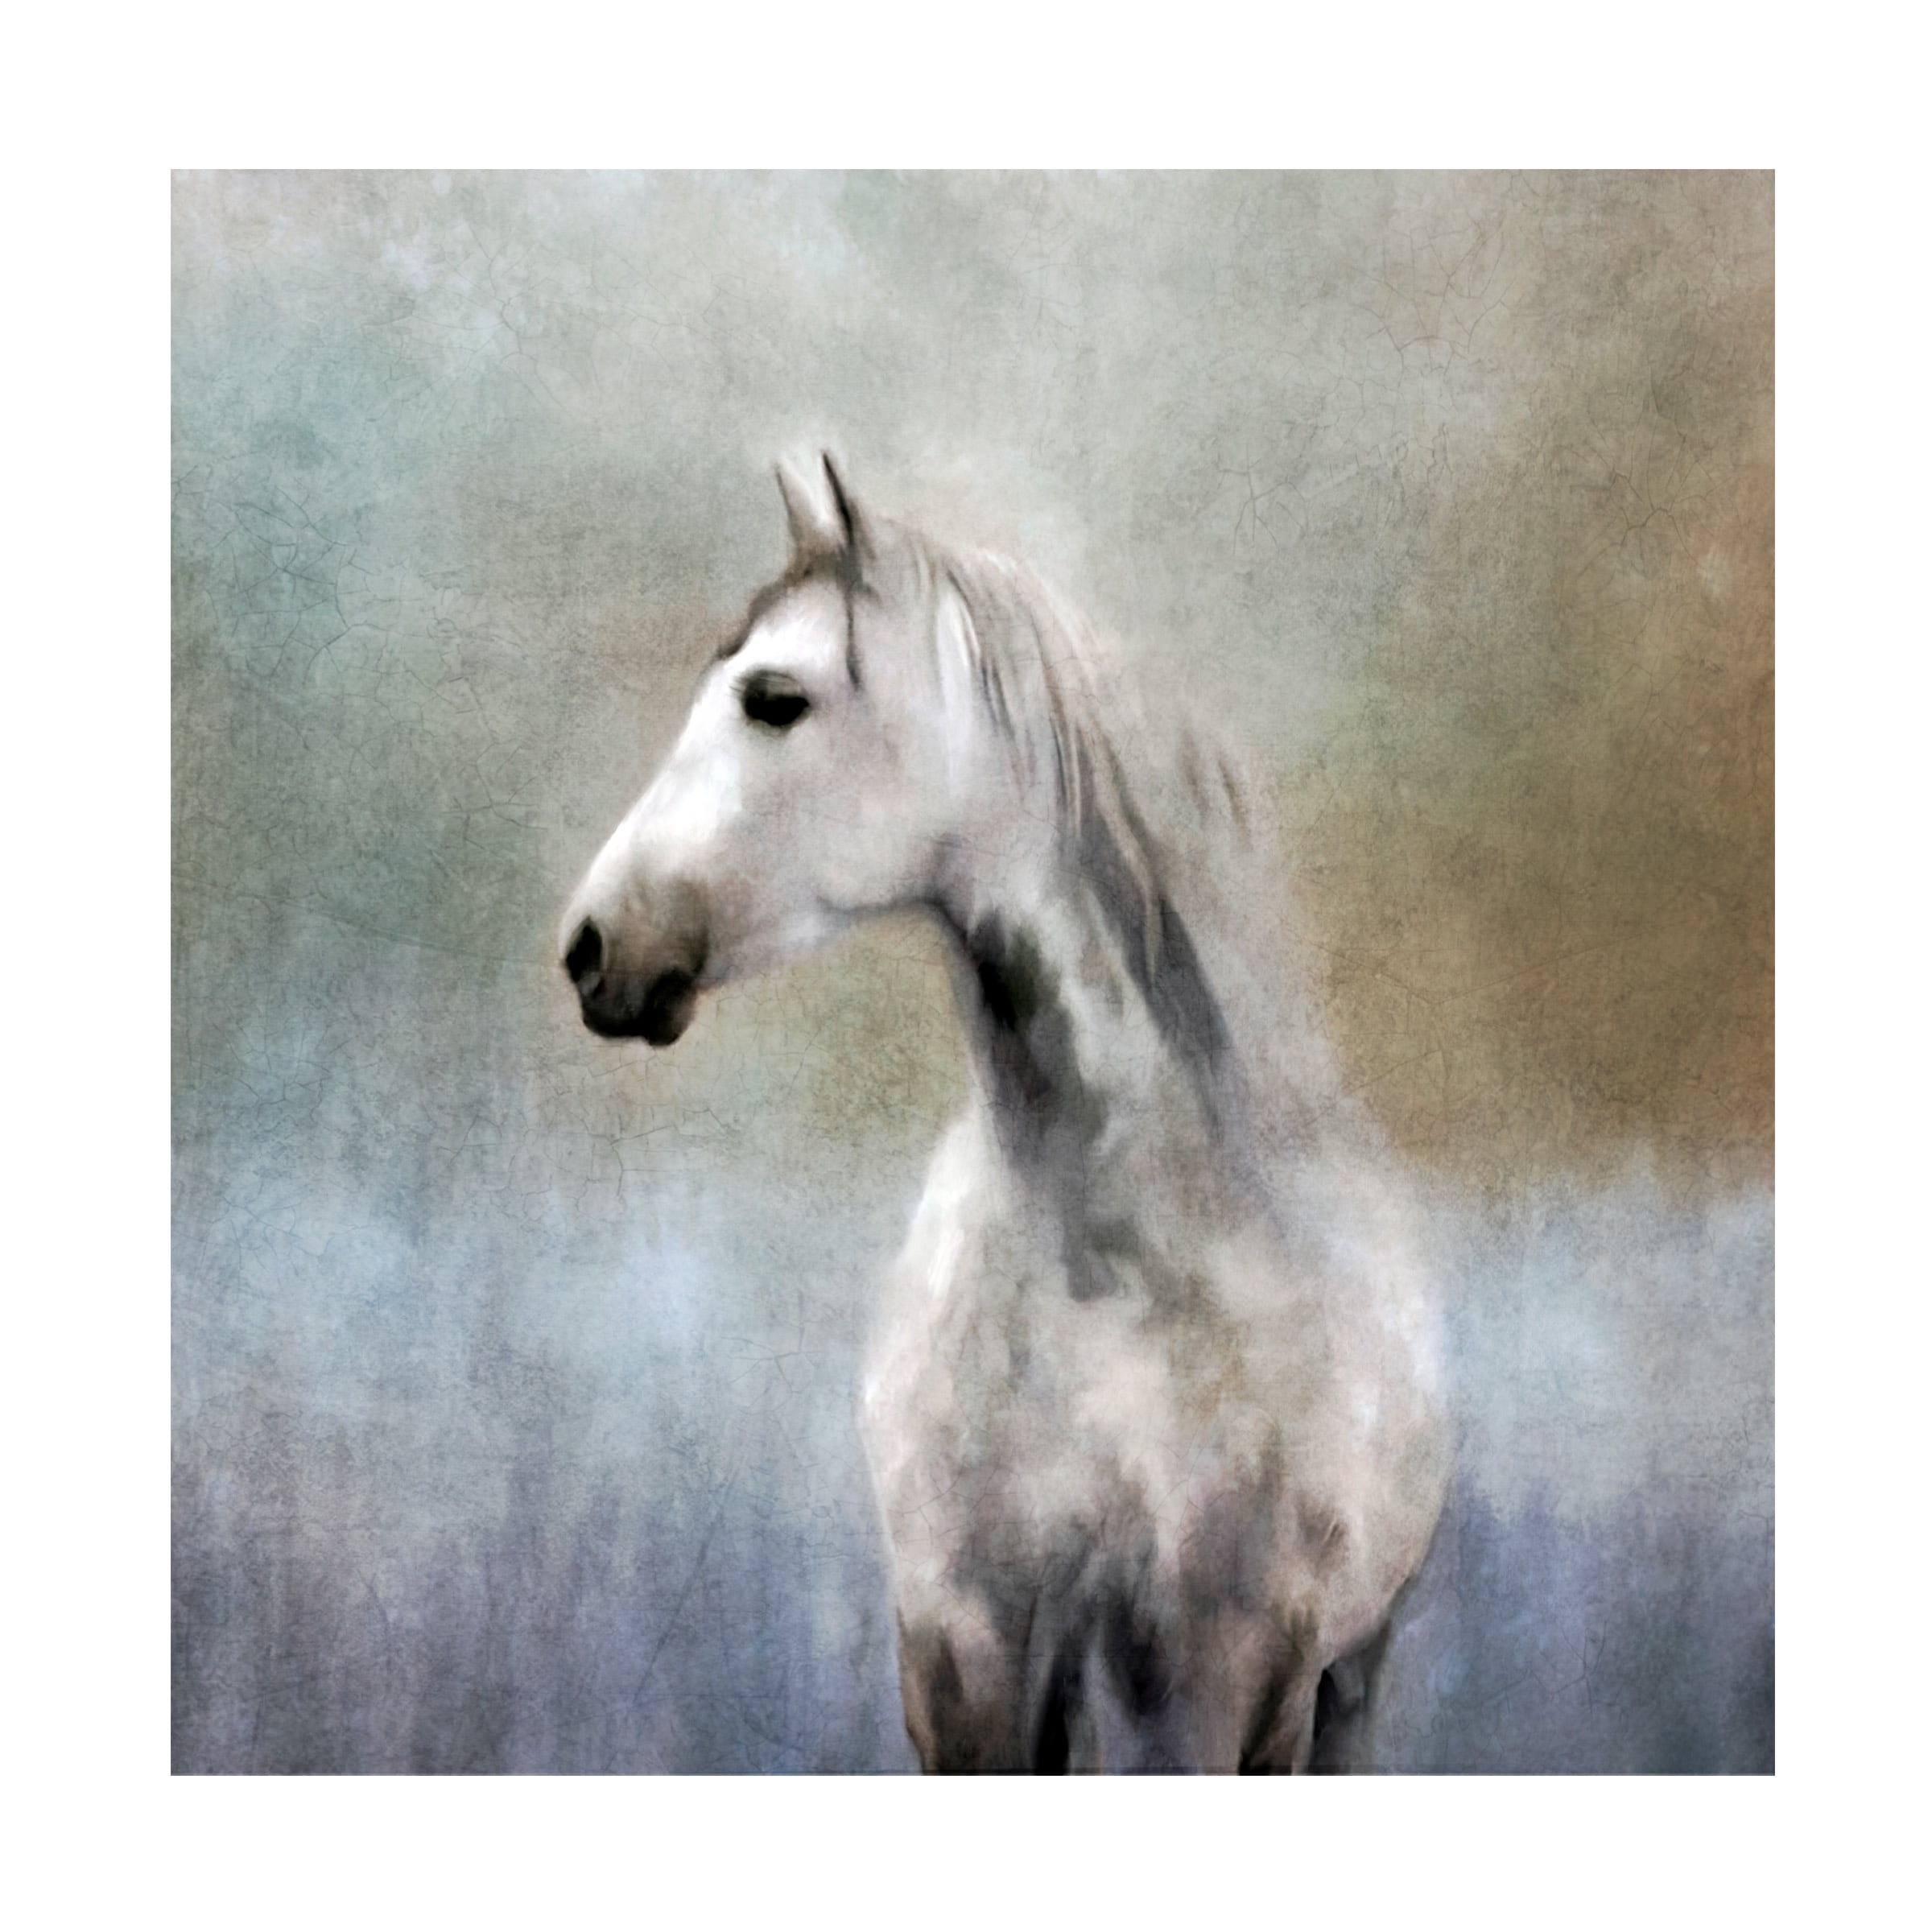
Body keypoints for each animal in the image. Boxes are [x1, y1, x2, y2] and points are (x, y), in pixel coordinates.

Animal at [560, 455, 1450, 1772]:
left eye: (776, 699)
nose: (590, 950)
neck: (1118, 1262)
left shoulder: (1228, 1667)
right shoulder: (967, 1650)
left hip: (1344, 1676)